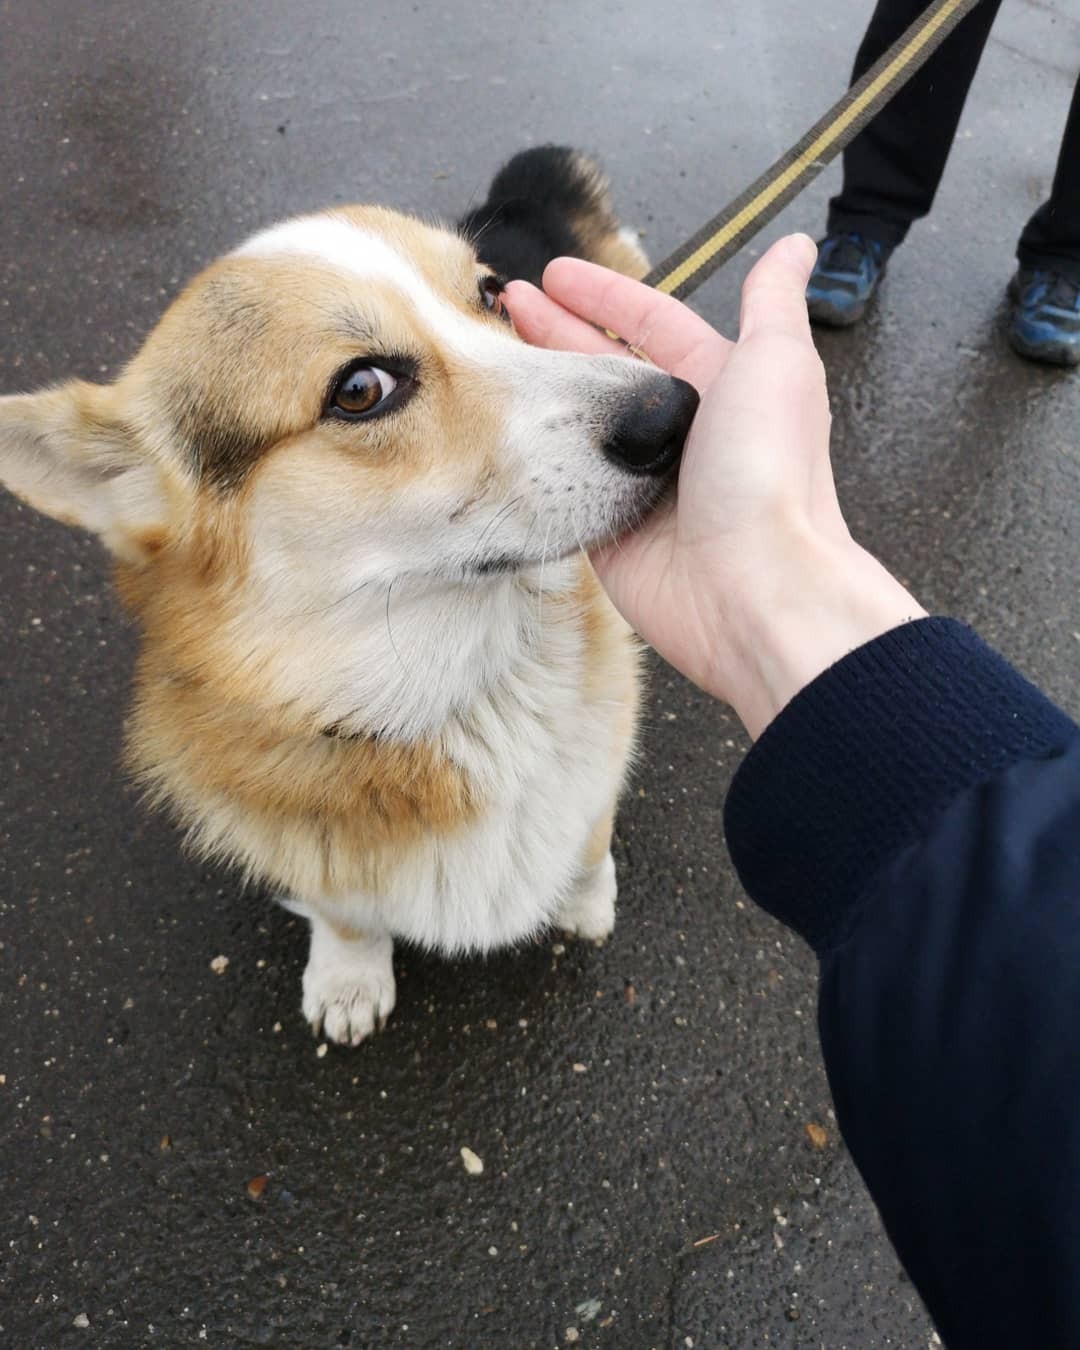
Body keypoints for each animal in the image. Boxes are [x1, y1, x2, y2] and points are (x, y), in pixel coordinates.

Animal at [0, 153, 702, 1047]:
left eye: (494, 296)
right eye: (360, 389)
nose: (674, 412)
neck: (461, 699)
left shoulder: (593, 772)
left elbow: (585, 840)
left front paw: (585, 904)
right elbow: (346, 915)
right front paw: (348, 978)